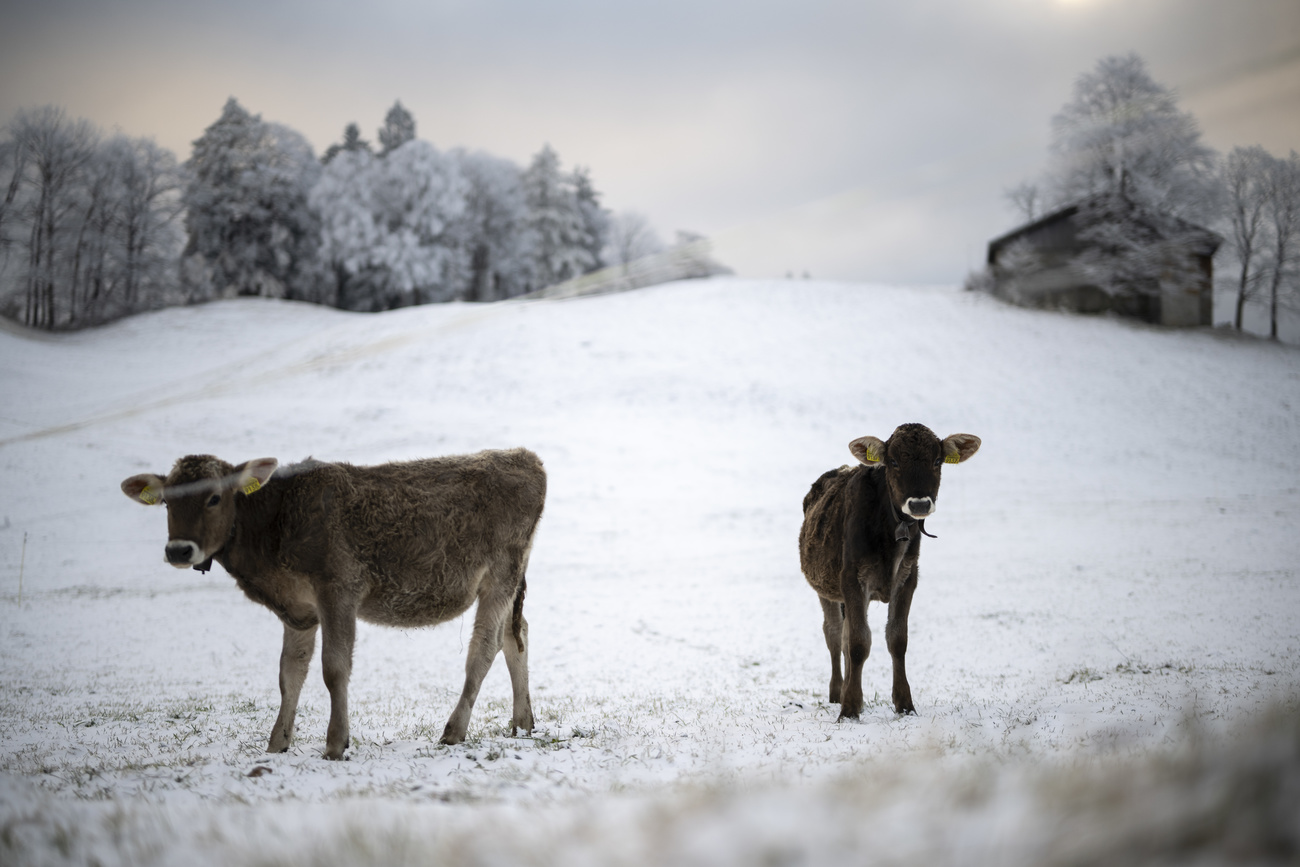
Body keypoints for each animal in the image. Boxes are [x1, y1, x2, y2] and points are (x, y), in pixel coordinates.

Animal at [795, 426, 977, 717]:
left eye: (937, 461)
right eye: (893, 461)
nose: (919, 504)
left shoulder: (907, 577)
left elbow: (896, 639)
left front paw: (904, 705)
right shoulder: (852, 578)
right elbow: (858, 642)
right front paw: (849, 709)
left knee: (844, 635)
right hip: (826, 588)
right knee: (834, 633)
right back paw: (837, 693)